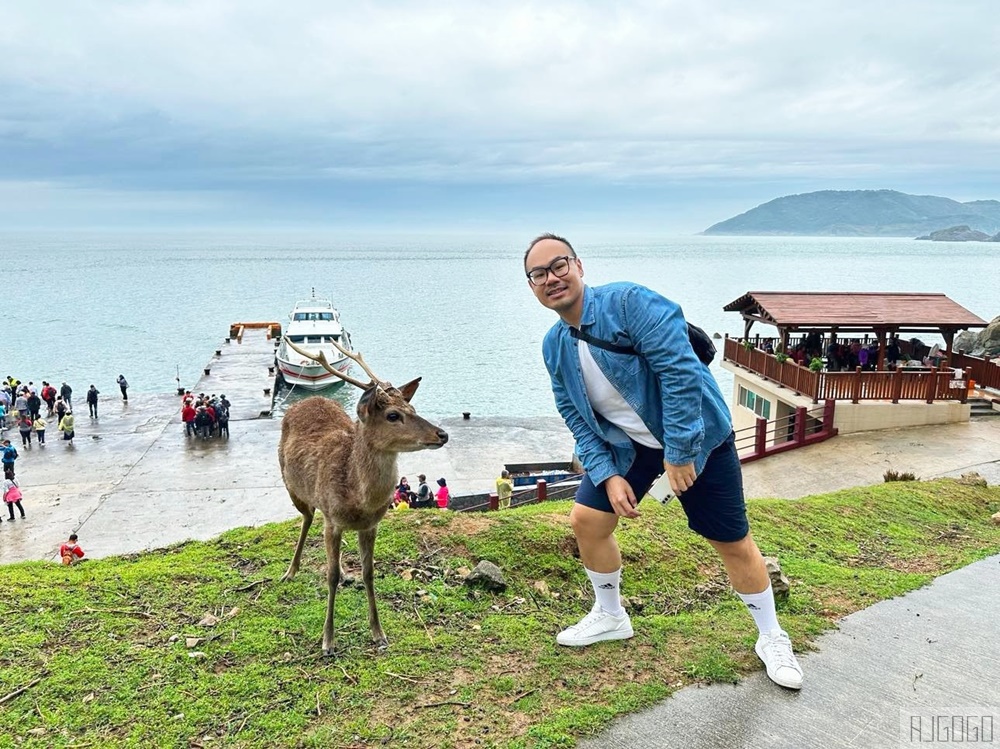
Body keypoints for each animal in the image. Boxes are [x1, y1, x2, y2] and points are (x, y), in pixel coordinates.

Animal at [274, 338, 446, 656]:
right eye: (393, 416)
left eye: (413, 407)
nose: (442, 434)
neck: (357, 498)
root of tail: (307, 400)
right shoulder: (333, 520)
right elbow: (328, 577)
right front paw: (328, 641)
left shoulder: (371, 525)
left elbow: (369, 573)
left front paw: (379, 633)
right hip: (291, 485)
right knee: (306, 518)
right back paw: (290, 571)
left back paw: (343, 572)